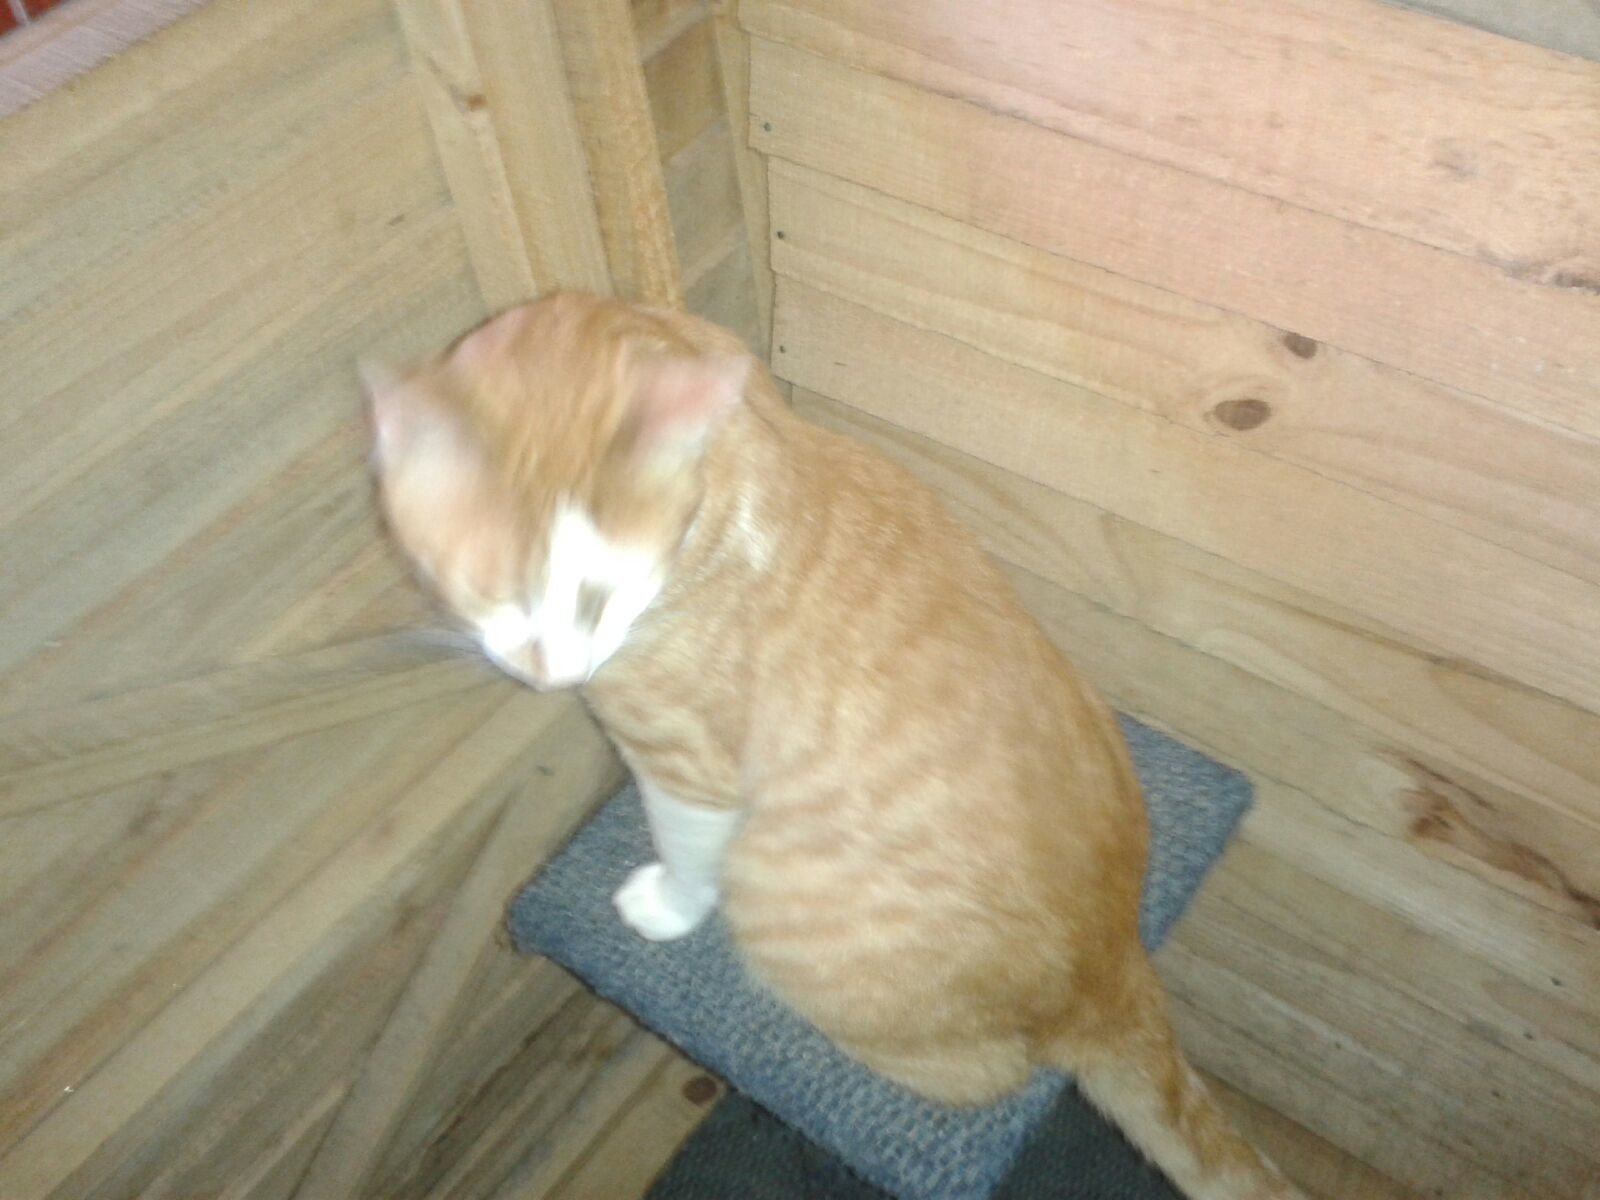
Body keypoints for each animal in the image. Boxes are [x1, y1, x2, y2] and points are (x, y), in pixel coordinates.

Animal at [364, 291, 1301, 1200]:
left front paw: (665, 905)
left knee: (992, 1076)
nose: (552, 672)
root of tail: (1115, 962)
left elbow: (684, 851)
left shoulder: (685, 769)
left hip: (778, 889)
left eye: (599, 594)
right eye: (492, 590)